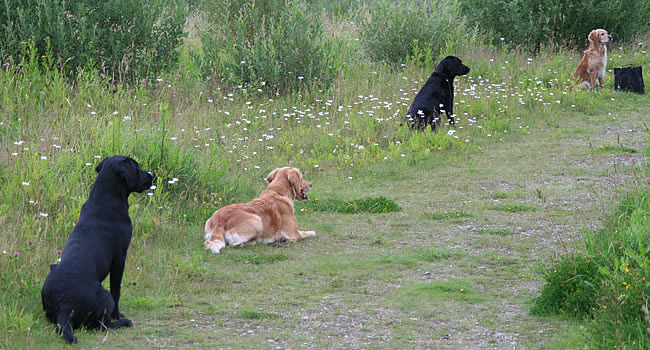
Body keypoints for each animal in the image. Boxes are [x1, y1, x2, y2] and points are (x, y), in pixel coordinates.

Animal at [41, 155, 153, 342]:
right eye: (137, 168)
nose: (151, 175)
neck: (105, 198)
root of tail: (64, 308)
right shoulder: (120, 258)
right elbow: (117, 290)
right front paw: (119, 315)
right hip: (105, 297)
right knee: (103, 324)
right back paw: (124, 322)